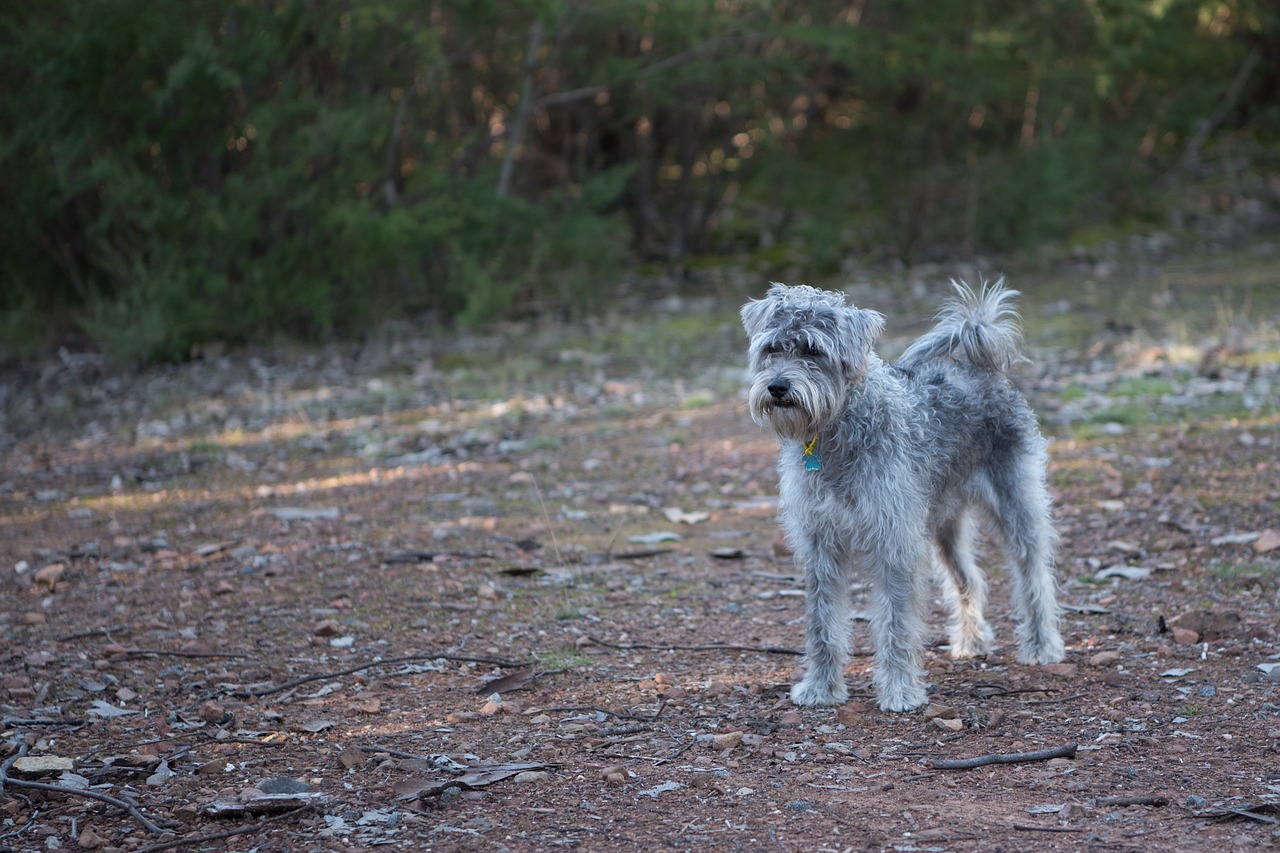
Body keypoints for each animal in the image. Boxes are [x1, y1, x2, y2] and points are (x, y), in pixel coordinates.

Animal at [742, 280, 1059, 712]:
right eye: (772, 348)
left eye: (813, 350)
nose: (777, 387)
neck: (837, 430)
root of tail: (981, 369)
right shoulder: (820, 543)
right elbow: (822, 623)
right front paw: (821, 688)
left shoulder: (894, 542)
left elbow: (896, 623)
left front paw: (900, 691)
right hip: (943, 527)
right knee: (970, 580)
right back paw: (971, 641)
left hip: (1016, 505)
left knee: (1034, 577)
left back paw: (1042, 646)